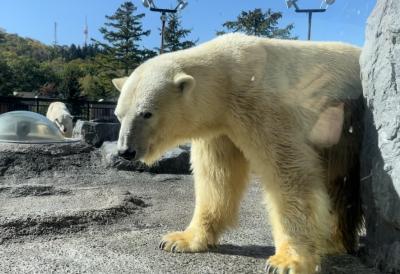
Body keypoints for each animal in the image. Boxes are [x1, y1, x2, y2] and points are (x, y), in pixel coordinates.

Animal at [111, 34, 362, 274]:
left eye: (146, 113)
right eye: (119, 114)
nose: (125, 151)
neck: (227, 82)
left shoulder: (264, 107)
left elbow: (289, 174)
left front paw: (287, 261)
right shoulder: (220, 128)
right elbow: (217, 177)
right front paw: (179, 240)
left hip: (346, 125)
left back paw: (332, 243)